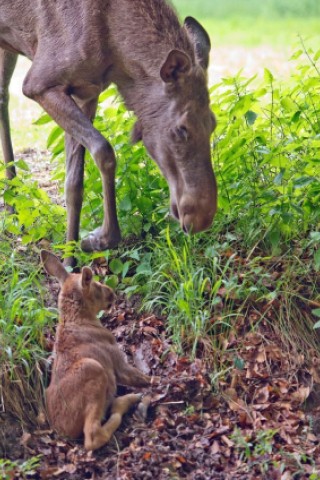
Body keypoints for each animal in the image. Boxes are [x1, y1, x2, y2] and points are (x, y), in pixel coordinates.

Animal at [0, 0, 216, 260]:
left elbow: (74, 183)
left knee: (2, 95)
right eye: (181, 129)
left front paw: (70, 258)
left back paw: (12, 204)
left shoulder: (86, 92)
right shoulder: (39, 84)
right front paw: (97, 239)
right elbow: (104, 151)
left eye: (213, 124)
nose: (202, 218)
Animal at [41, 249, 152, 452]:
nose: (112, 294)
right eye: (96, 284)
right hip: (94, 369)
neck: (81, 318)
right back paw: (126, 401)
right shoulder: (118, 362)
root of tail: (63, 431)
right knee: (92, 436)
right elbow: (142, 378)